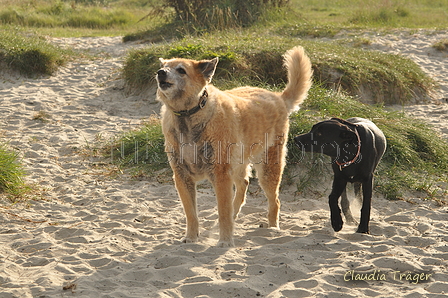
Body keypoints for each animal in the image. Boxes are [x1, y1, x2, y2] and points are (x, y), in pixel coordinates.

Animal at [157, 46, 312, 247]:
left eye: (181, 70)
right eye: (164, 66)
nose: (160, 73)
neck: (188, 115)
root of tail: (279, 98)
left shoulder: (221, 175)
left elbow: (223, 212)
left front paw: (225, 240)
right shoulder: (182, 176)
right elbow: (191, 213)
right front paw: (191, 237)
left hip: (268, 169)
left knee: (275, 201)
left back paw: (273, 228)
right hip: (238, 163)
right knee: (244, 183)